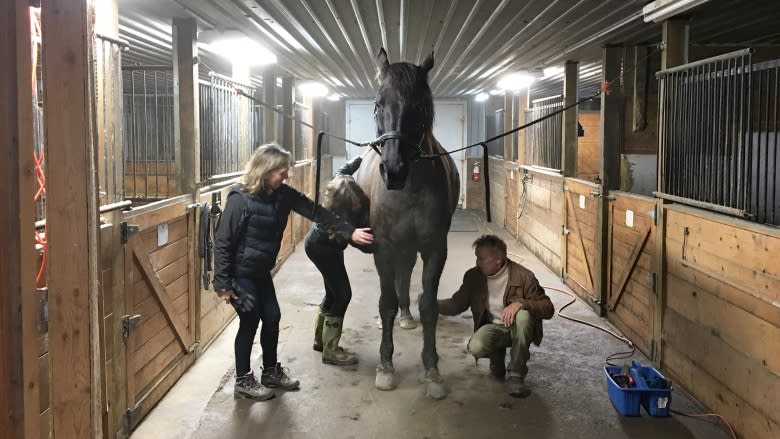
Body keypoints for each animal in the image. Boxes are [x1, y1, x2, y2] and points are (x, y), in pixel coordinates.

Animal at [352, 47, 458, 398]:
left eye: (421, 106)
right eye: (377, 104)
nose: (394, 170)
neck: (409, 189)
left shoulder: (435, 249)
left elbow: (429, 305)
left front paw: (432, 370)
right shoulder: (383, 247)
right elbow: (385, 302)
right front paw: (385, 366)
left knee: (407, 274)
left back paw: (406, 314)